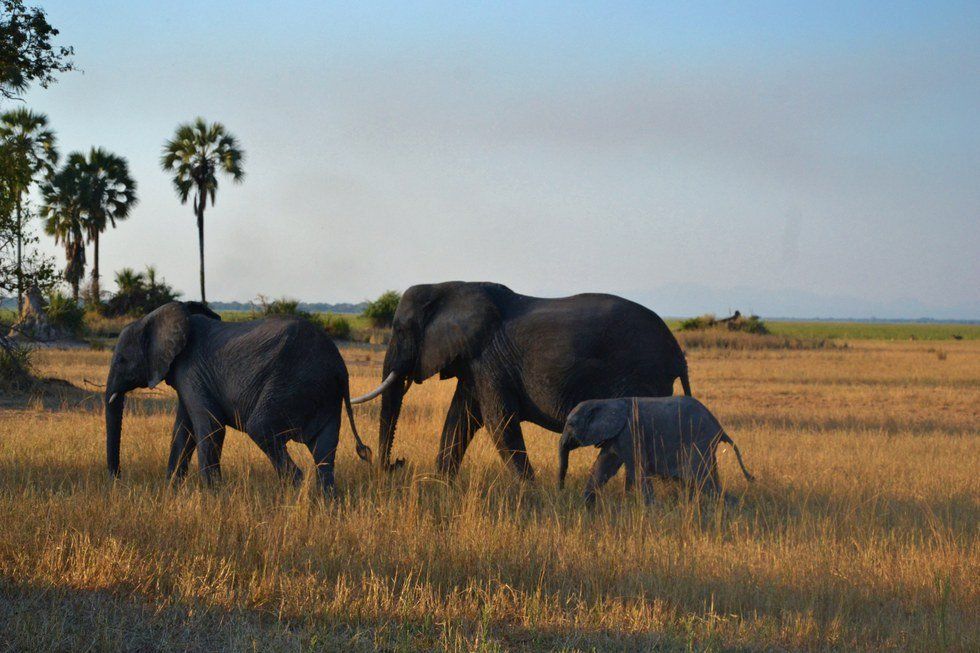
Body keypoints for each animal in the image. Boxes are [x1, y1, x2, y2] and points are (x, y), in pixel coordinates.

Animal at [104, 301, 372, 494]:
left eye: (121, 360)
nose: (117, 479)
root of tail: (340, 367)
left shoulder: (191, 370)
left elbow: (210, 427)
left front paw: (213, 497)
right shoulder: (188, 376)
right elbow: (183, 430)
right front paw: (171, 490)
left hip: (292, 384)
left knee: (261, 429)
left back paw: (293, 496)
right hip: (323, 394)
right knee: (324, 450)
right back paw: (326, 504)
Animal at [350, 281, 691, 480]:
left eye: (400, 330)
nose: (396, 464)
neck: (448, 286)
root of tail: (677, 352)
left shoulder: (488, 358)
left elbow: (498, 420)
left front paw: (528, 491)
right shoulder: (475, 362)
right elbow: (461, 418)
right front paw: (439, 483)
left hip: (641, 374)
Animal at [558, 397, 754, 505]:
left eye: (570, 424)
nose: (561, 491)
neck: (607, 402)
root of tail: (720, 429)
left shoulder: (630, 432)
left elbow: (637, 469)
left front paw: (651, 508)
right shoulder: (617, 436)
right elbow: (603, 467)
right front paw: (587, 505)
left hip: (699, 441)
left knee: (701, 480)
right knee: (706, 479)